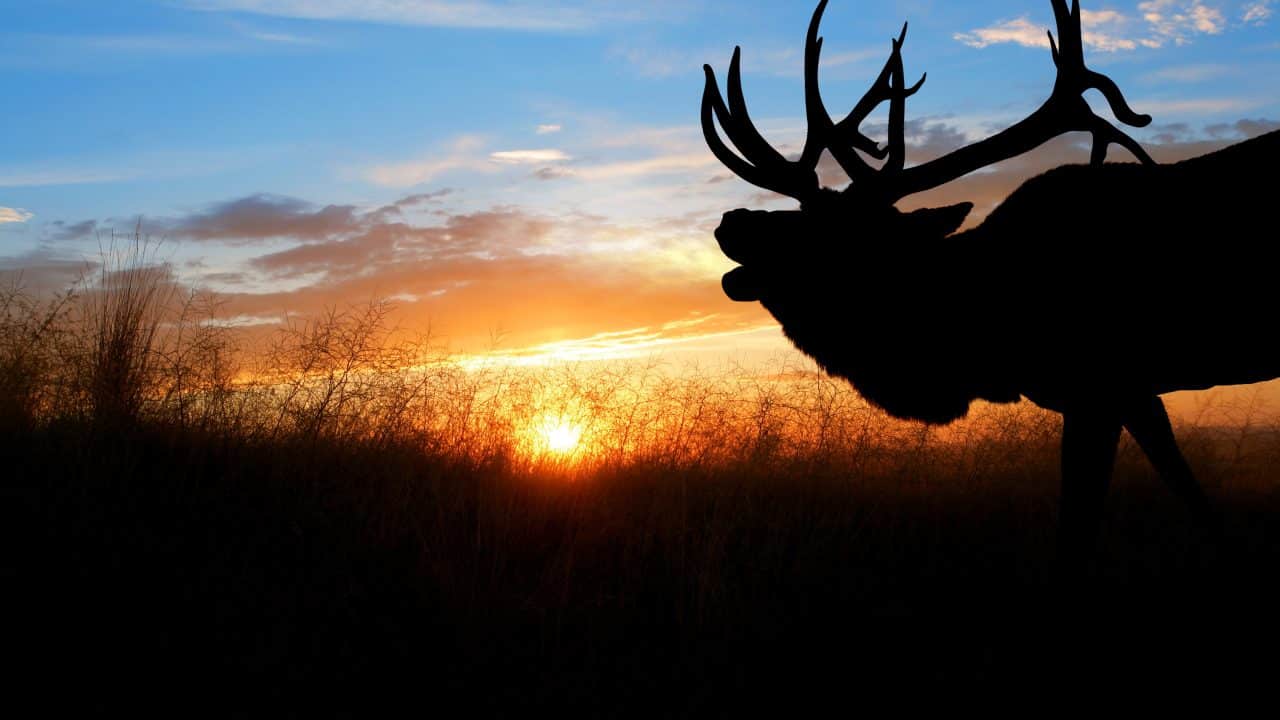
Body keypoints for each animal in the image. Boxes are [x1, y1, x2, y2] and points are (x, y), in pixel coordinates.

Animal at [702, 0, 1280, 568]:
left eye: (837, 229)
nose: (732, 220)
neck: (988, 345)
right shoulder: (1136, 392)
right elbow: (1196, 501)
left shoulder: (1098, 387)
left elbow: (1077, 537)